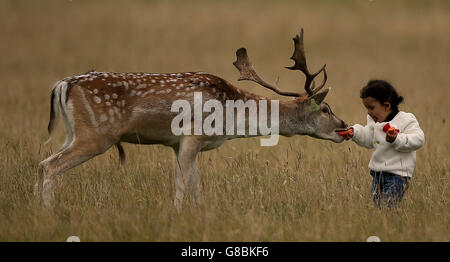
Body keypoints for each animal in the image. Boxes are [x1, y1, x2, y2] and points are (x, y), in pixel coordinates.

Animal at [37, 28, 348, 209]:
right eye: (325, 109)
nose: (344, 126)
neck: (230, 117)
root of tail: (62, 85)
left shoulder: (180, 144)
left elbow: (195, 186)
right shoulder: (192, 136)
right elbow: (182, 184)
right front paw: (176, 214)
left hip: (73, 132)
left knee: (42, 163)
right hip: (96, 135)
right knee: (51, 166)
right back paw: (47, 213)